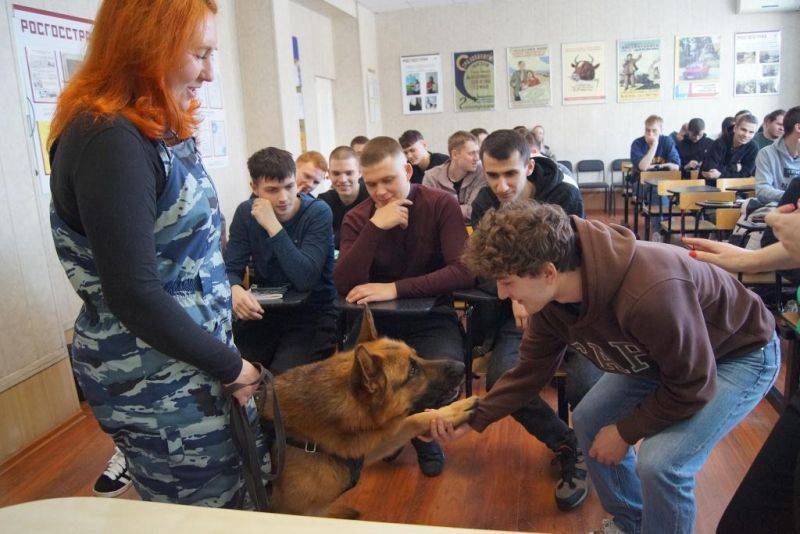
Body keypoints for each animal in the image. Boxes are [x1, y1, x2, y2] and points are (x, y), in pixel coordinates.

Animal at [260, 308, 476, 520]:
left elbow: (416, 419)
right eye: (412, 371)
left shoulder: (372, 444)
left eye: (417, 356)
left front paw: (456, 410)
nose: (462, 366)